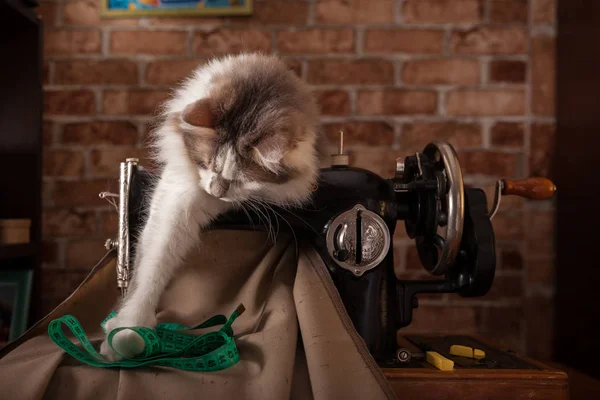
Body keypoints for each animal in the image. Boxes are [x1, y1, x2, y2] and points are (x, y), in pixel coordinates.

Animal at [99, 52, 324, 360]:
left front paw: (126, 335)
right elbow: (152, 267)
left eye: (241, 179)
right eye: (208, 164)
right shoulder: (176, 200)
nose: (216, 192)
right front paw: (127, 330)